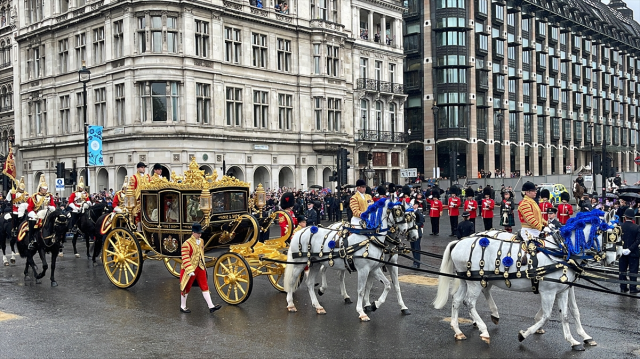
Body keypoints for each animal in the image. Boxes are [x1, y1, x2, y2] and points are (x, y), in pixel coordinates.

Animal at [284, 198, 420, 322]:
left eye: (412, 217)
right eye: (398, 212)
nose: (413, 235)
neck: (371, 238)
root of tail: (300, 231)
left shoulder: (378, 268)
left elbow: (390, 285)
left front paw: (377, 305)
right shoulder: (364, 269)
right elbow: (361, 290)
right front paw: (362, 311)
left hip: (315, 264)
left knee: (311, 283)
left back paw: (319, 306)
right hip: (299, 264)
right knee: (292, 281)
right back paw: (291, 304)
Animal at [436, 211, 604, 352]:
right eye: (606, 233)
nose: (606, 258)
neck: (559, 251)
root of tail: (459, 242)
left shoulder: (564, 288)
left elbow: (569, 313)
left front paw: (578, 339)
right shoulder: (549, 291)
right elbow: (547, 315)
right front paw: (524, 333)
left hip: (467, 280)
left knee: (457, 300)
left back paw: (459, 330)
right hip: (475, 281)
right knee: (469, 302)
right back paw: (483, 329)